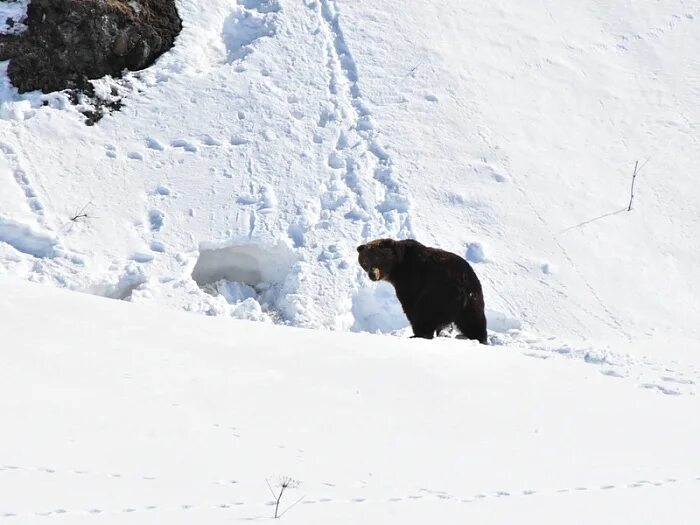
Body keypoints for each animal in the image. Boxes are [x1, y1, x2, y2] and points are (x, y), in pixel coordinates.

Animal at [356, 238, 486, 344]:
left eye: (378, 258)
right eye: (365, 262)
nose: (372, 275)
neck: (397, 267)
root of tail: (463, 285)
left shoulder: (411, 279)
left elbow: (410, 303)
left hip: (439, 293)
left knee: (424, 312)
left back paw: (418, 334)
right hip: (474, 297)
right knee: (474, 321)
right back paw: (479, 338)